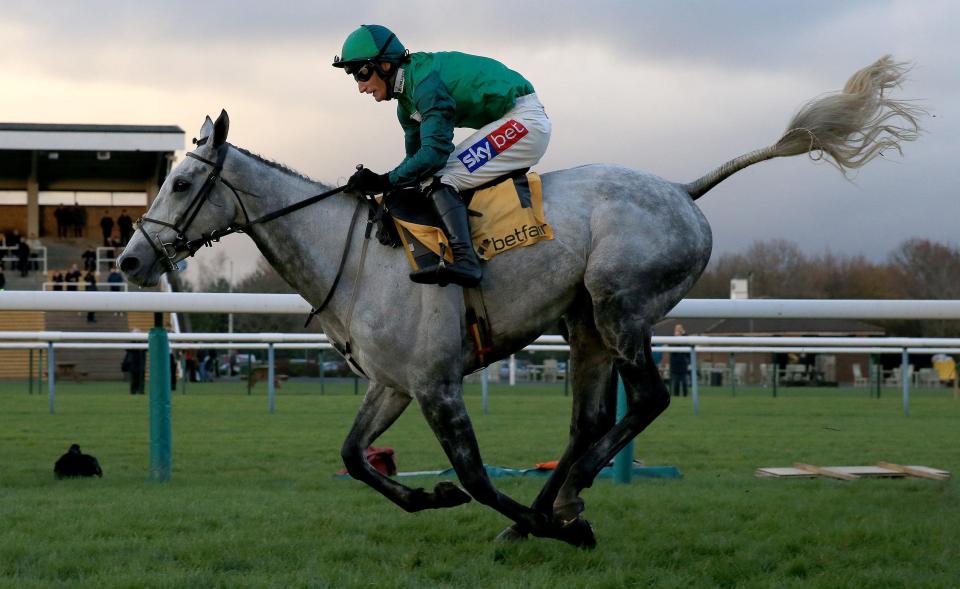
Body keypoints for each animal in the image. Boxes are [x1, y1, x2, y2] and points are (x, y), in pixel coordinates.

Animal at [120, 56, 924, 548]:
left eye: (183, 183)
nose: (130, 259)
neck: (359, 258)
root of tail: (681, 190)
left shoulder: (437, 383)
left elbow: (477, 476)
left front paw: (533, 523)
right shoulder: (392, 383)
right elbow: (355, 456)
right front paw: (437, 500)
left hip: (618, 304)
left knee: (648, 399)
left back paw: (562, 506)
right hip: (584, 325)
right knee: (590, 420)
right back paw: (561, 497)